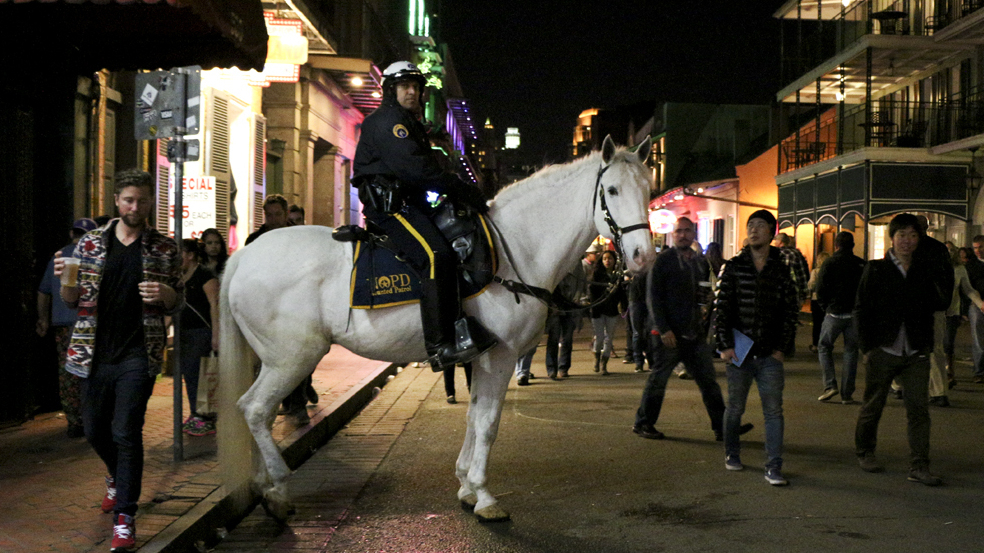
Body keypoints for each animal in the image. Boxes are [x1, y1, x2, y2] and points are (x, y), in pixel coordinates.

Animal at [219, 134, 656, 520]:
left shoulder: (481, 357)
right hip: (293, 358)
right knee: (254, 409)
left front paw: (466, 485)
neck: (516, 250)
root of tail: (244, 255)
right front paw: (484, 495)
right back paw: (277, 489)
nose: (643, 256)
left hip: (270, 360)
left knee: (260, 414)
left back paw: (263, 485)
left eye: (649, 190)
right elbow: (488, 423)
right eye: (612, 190)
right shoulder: (500, 356)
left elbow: (474, 416)